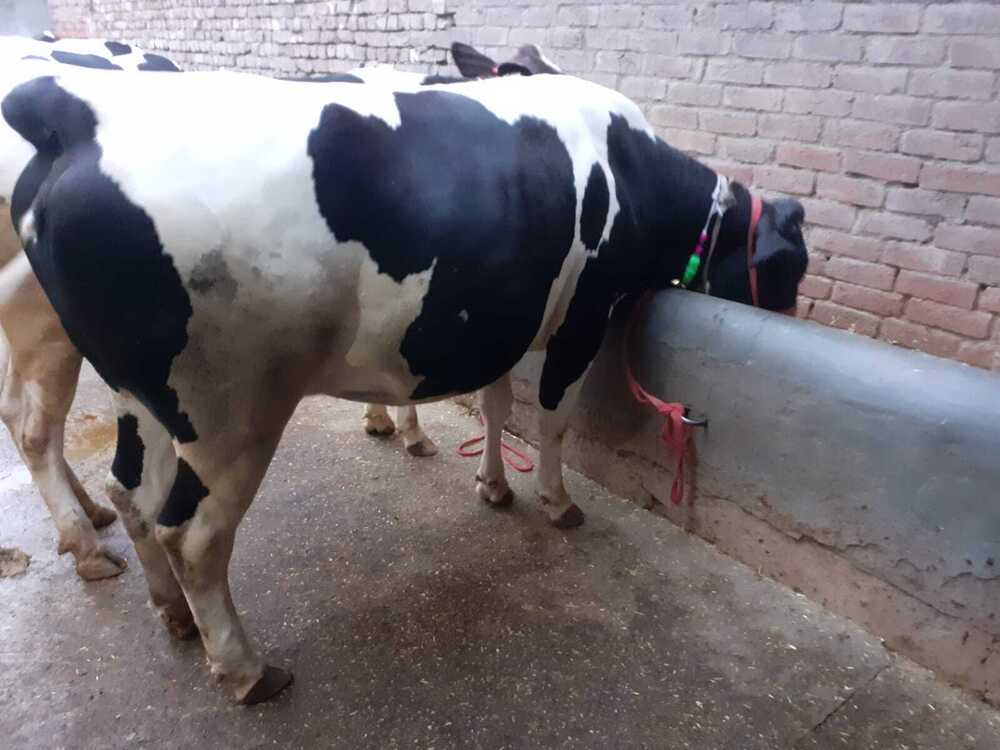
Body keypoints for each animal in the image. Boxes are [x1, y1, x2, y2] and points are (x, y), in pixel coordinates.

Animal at [3, 69, 807, 702]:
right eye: (790, 267)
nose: (790, 314)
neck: (629, 170)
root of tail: (79, 112)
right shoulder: (581, 319)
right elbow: (552, 418)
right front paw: (556, 501)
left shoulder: (500, 316)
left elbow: (497, 404)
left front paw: (493, 486)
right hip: (227, 409)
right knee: (192, 533)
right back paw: (246, 669)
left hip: (141, 395)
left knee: (131, 492)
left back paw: (170, 614)